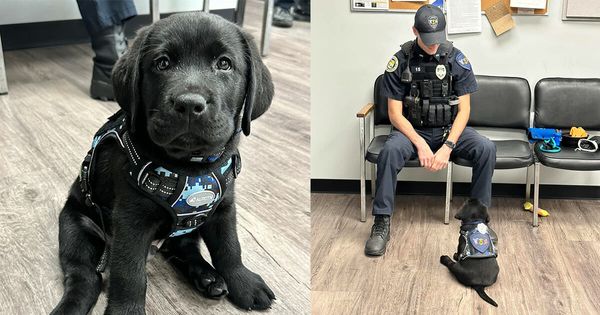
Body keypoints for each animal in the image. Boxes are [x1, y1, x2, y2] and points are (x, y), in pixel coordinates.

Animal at [51, 11, 276, 314]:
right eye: (162, 63)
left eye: (224, 64)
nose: (190, 104)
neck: (190, 166)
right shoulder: (131, 222)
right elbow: (129, 273)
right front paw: (126, 311)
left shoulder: (223, 208)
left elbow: (230, 247)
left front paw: (244, 283)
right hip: (76, 226)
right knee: (84, 276)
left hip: (187, 229)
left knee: (184, 248)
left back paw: (208, 277)